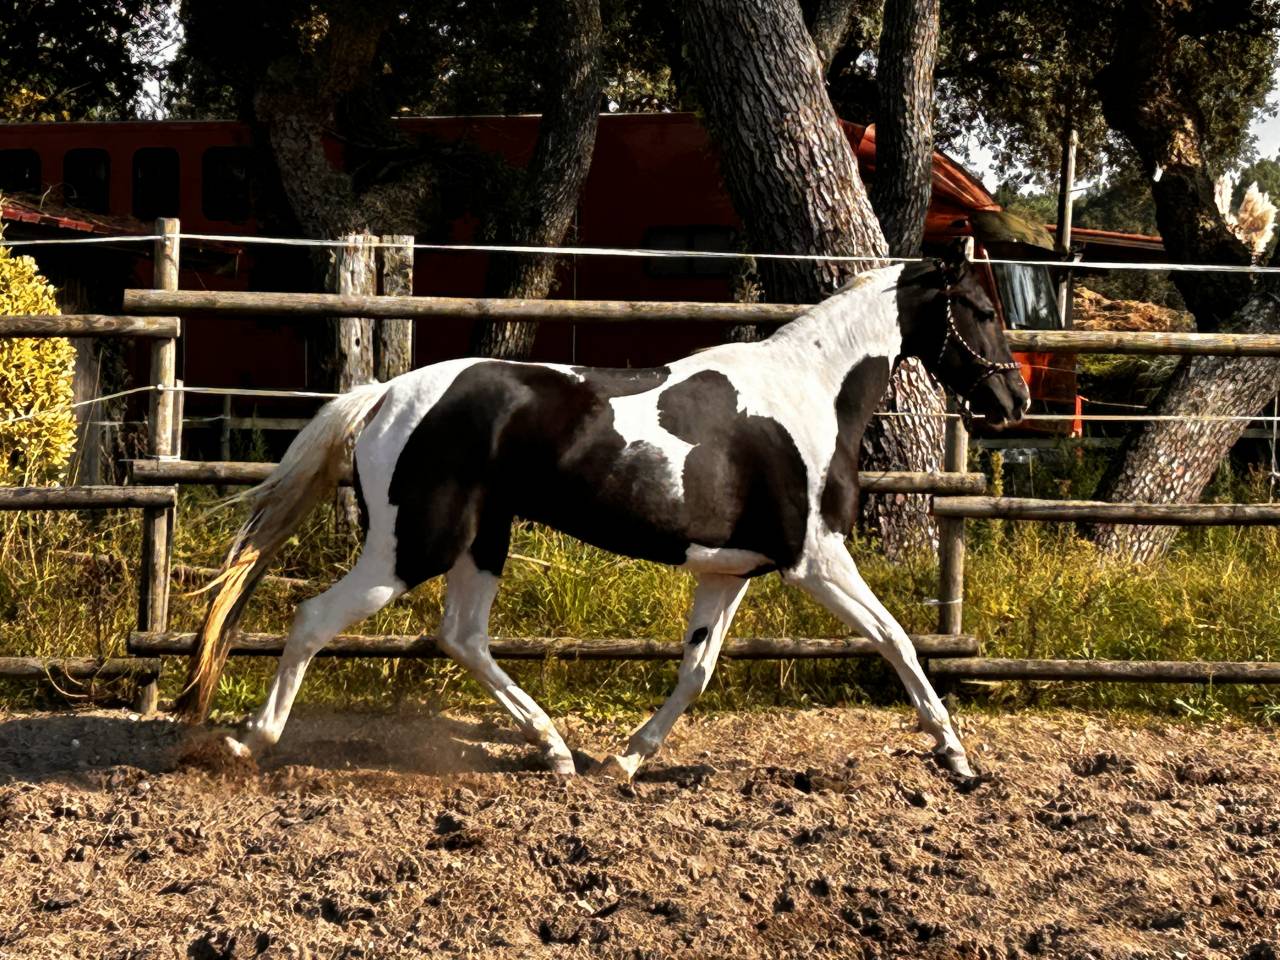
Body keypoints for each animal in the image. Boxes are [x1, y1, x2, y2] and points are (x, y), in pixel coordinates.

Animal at [177, 242, 1029, 780]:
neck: (807, 394)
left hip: (482, 540)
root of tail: (387, 394)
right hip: (410, 546)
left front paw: (625, 758)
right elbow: (898, 641)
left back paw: (557, 751)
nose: (1014, 399)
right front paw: (957, 758)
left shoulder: (728, 573)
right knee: (315, 620)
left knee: (462, 637)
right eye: (981, 308)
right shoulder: (815, 558)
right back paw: (250, 743)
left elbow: (696, 670)